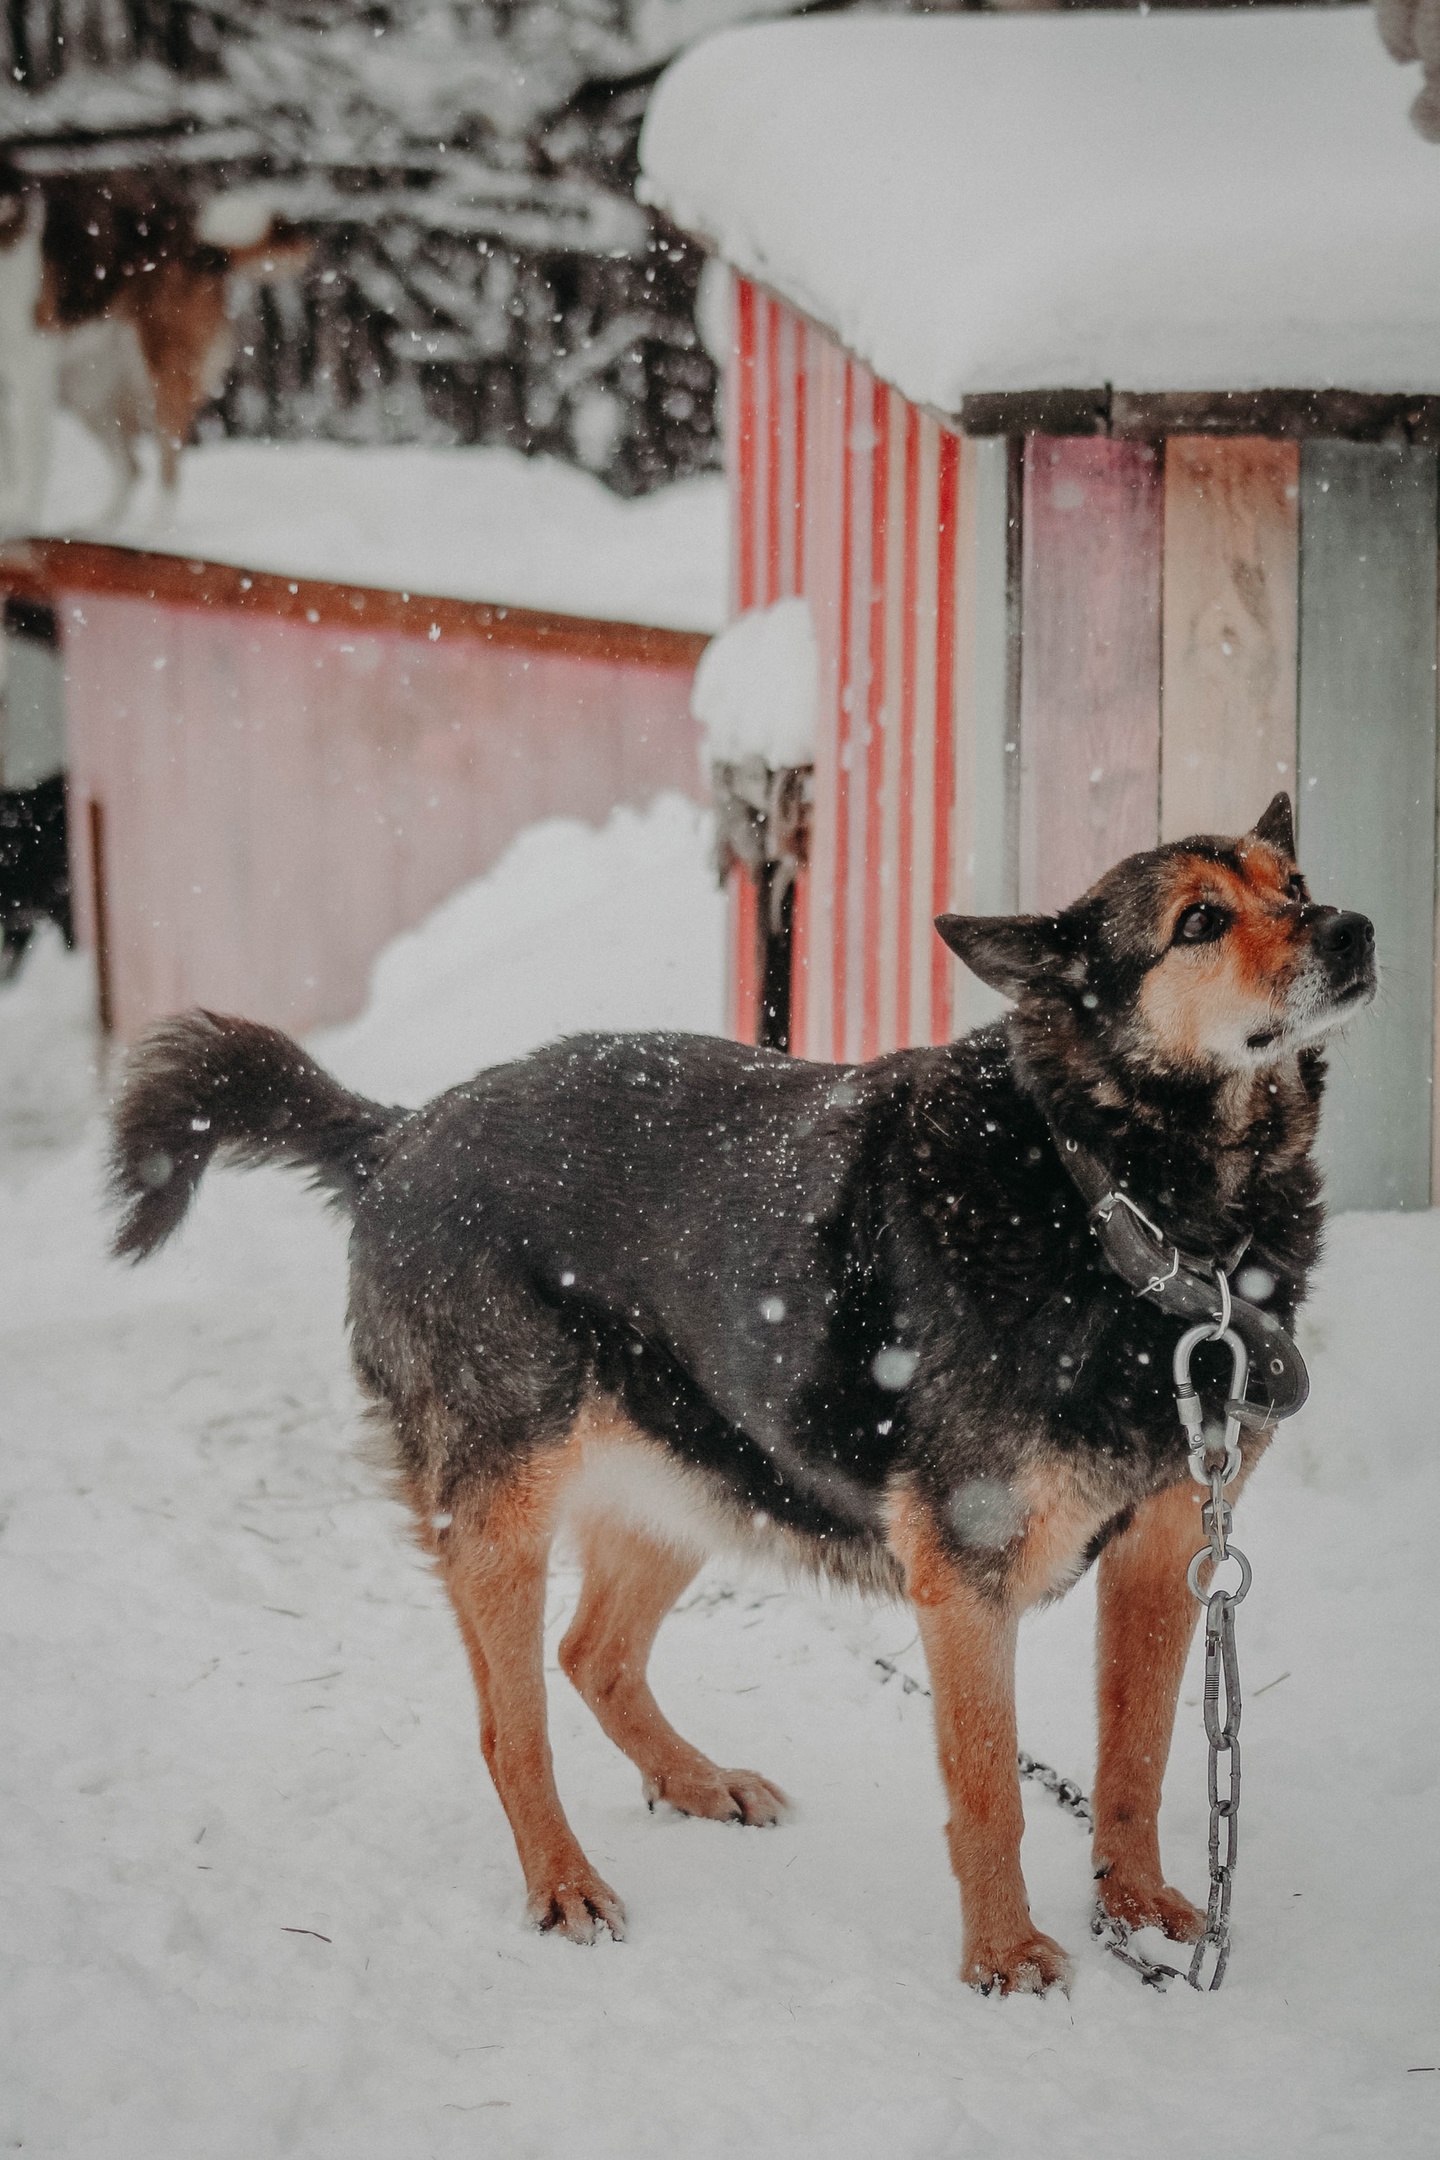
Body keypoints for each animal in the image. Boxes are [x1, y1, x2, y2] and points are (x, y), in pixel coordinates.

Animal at [110, 794, 1373, 1987]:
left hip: (702, 1478)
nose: (1354, 928)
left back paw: (695, 1780)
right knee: (511, 1727)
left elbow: (1137, 1758)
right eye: (1198, 921)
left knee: (593, 1654)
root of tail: (401, 1132)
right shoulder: (965, 1573)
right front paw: (1005, 1956)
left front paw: (1142, 1908)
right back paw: (564, 1881)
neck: (1112, 1195)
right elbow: (991, 1788)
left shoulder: (1166, 1548)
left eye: (1294, 883)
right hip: (506, 1511)